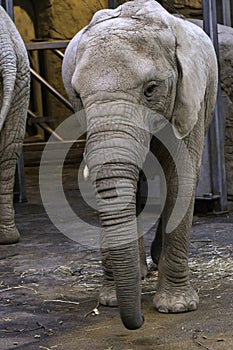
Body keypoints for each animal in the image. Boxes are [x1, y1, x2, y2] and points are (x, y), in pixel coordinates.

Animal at [62, 0, 218, 330]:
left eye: (151, 89)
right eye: (78, 96)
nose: (139, 321)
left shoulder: (190, 100)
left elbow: (181, 178)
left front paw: (177, 307)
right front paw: (109, 301)